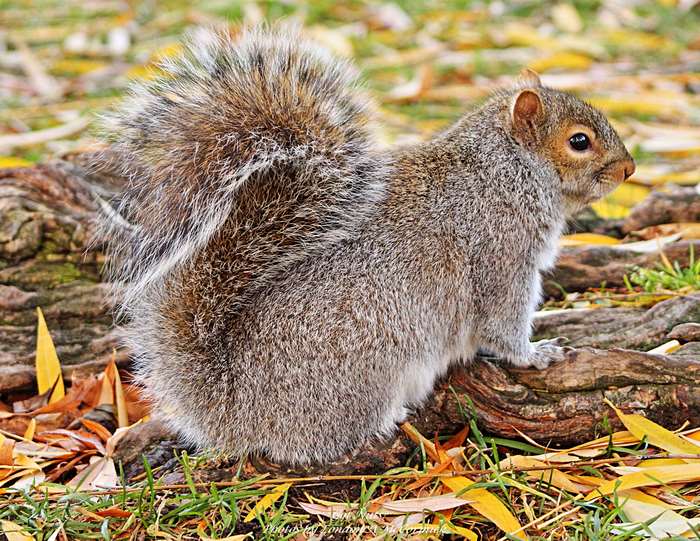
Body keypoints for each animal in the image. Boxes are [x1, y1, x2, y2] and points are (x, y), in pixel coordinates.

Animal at [97, 26, 635, 465]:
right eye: (580, 141)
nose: (630, 169)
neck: (506, 171)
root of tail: (236, 408)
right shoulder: (501, 257)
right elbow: (502, 325)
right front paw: (535, 353)